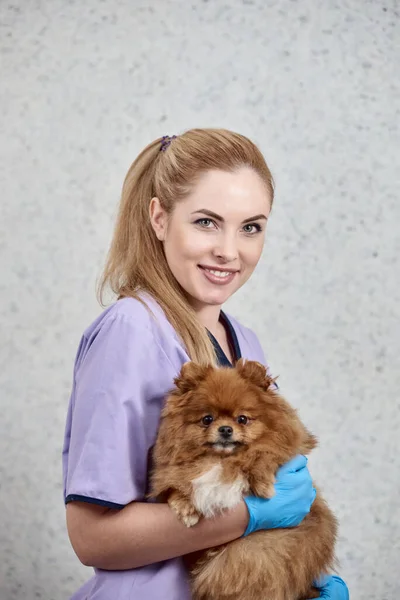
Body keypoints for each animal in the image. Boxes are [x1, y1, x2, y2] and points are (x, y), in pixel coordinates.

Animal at [150, 358, 338, 596]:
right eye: (207, 419)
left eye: (242, 419)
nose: (225, 429)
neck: (222, 460)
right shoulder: (176, 473)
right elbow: (178, 486)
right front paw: (185, 507)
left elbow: (264, 456)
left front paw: (263, 484)